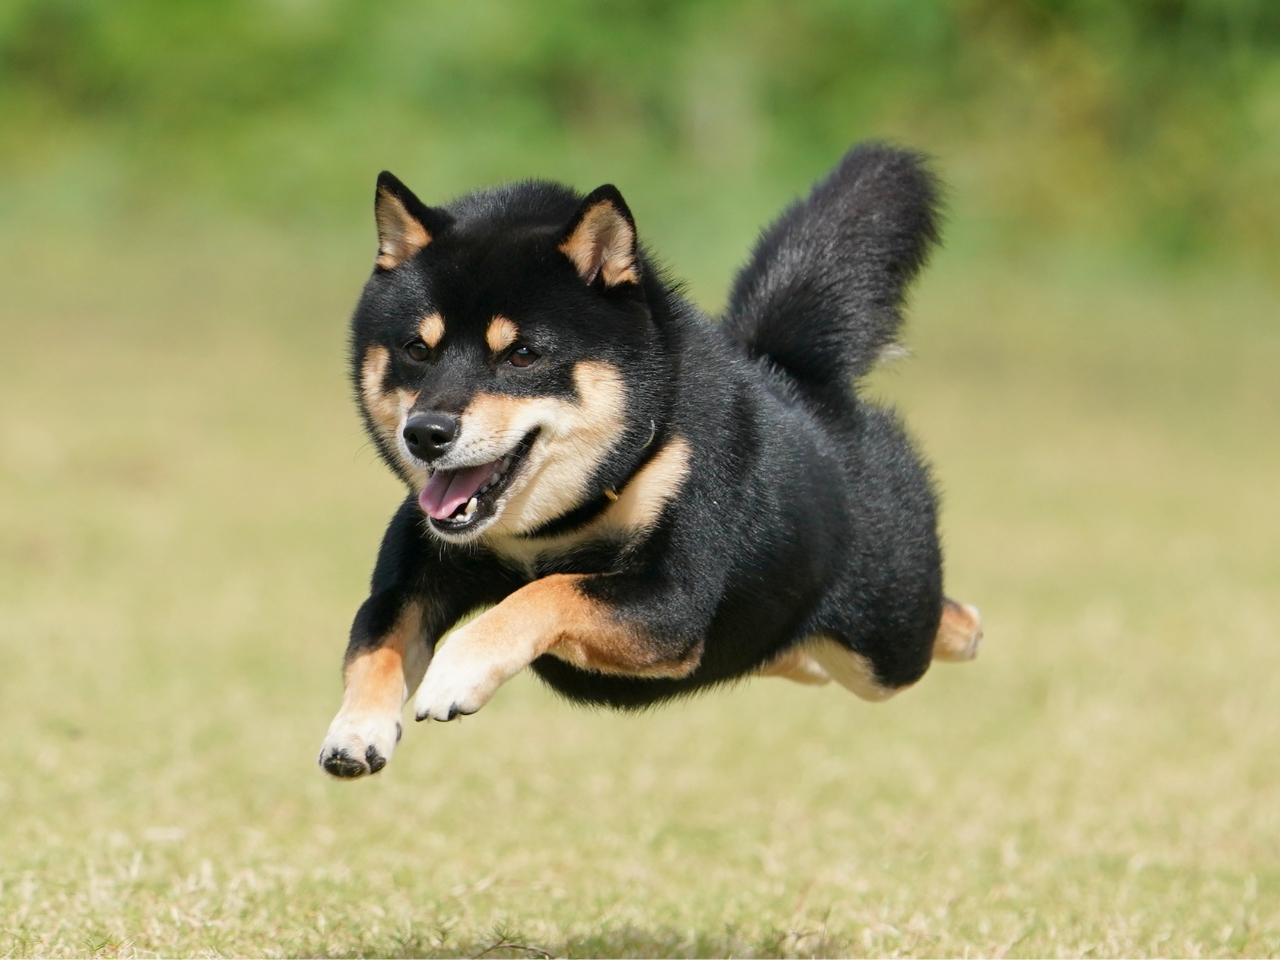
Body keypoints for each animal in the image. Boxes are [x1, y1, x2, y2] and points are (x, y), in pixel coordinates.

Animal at [317, 140, 977, 783]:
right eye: (417, 350)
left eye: (522, 355)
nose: (425, 433)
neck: (555, 524)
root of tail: (800, 378)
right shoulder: (419, 561)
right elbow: (376, 637)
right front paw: (357, 728)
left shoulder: (672, 601)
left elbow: (545, 593)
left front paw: (459, 669)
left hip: (885, 641)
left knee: (937, 627)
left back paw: (967, 627)